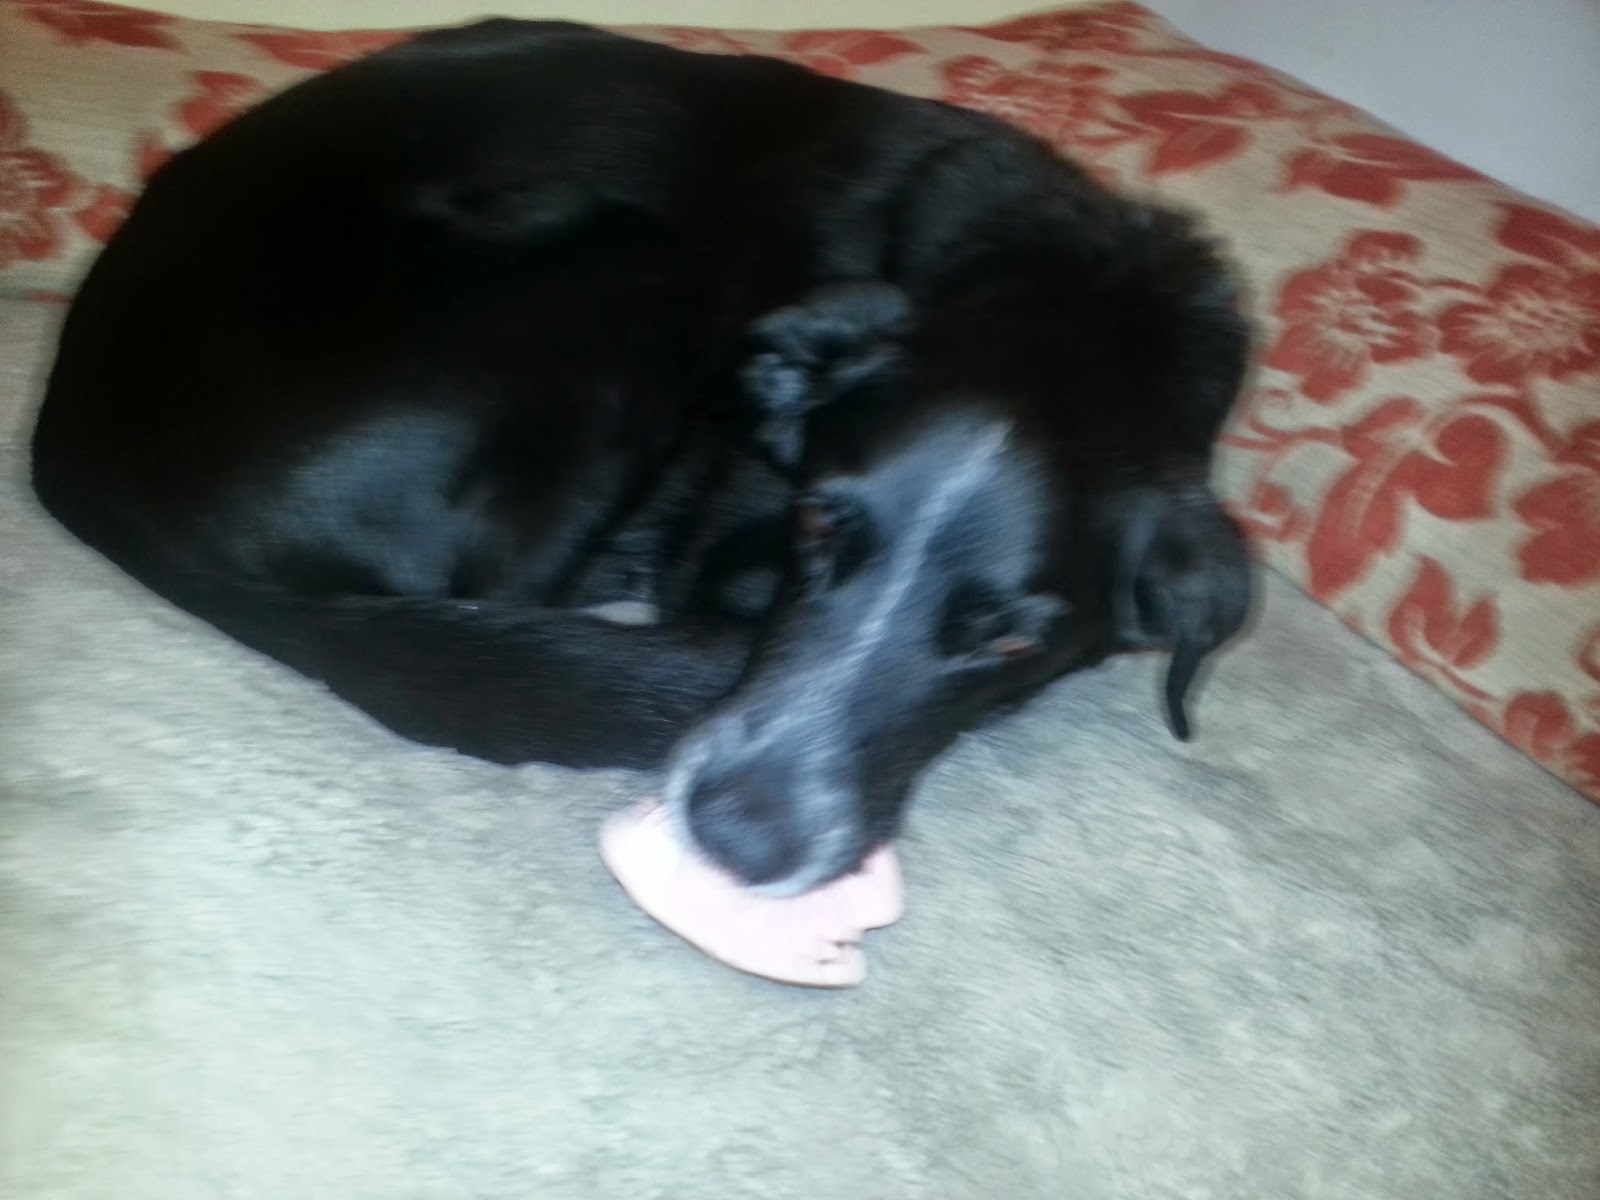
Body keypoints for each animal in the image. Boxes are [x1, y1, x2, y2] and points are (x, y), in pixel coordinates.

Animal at [30, 20, 1253, 896]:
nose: (734, 840)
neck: (1082, 302)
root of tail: (73, 443)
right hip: (624, 261)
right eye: (816, 521)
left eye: (1009, 637)